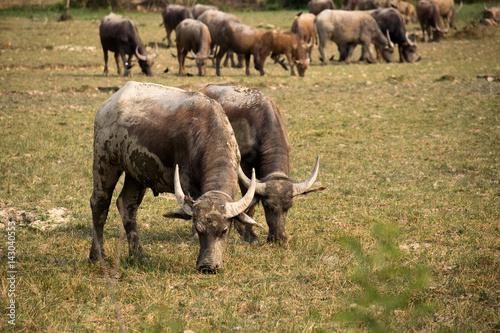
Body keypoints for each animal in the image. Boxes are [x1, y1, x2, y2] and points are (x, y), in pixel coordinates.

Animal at [197, 84, 322, 243]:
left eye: (289, 206)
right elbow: (251, 201)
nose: (278, 238)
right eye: (267, 206)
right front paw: (248, 234)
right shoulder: (244, 168)